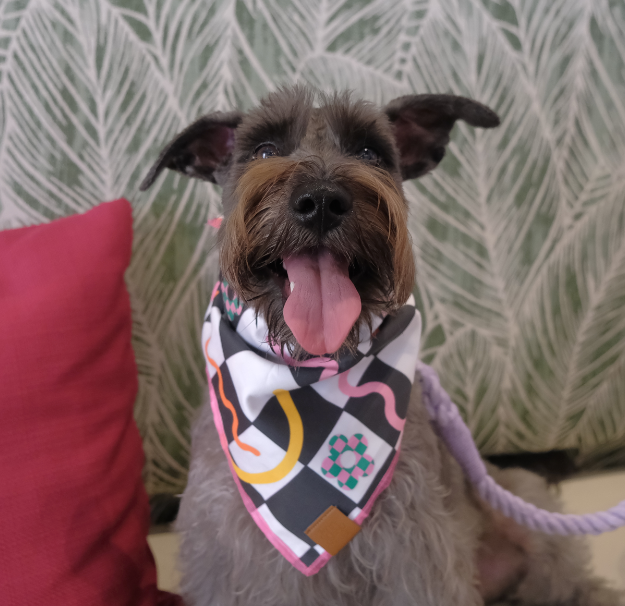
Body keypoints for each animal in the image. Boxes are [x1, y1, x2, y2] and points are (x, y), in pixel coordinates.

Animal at [139, 86, 620, 606]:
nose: (322, 200)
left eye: (370, 152)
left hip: (524, 507)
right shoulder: (221, 553)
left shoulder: (414, 548)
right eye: (264, 150)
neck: (309, 374)